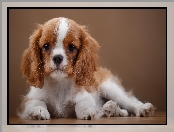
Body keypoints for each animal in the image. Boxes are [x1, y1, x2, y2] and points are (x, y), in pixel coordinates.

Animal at [18, 17, 156, 120]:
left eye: (72, 47)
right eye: (46, 46)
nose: (57, 58)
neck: (59, 82)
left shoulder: (86, 95)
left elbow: (83, 102)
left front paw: (87, 111)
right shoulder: (29, 99)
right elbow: (36, 102)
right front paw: (39, 111)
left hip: (109, 87)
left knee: (129, 101)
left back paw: (142, 109)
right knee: (121, 111)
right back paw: (110, 109)